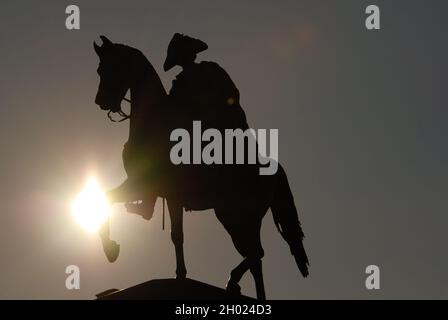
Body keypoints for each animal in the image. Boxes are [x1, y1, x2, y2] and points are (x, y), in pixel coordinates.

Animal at [92, 35, 308, 300]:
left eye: (111, 66)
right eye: (100, 69)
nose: (101, 101)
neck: (153, 122)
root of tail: (272, 169)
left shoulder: (140, 186)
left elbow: (107, 198)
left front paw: (111, 248)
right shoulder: (166, 196)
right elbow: (176, 236)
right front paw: (180, 274)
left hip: (235, 216)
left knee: (256, 254)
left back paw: (237, 284)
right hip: (239, 218)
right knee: (255, 257)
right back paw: (247, 291)